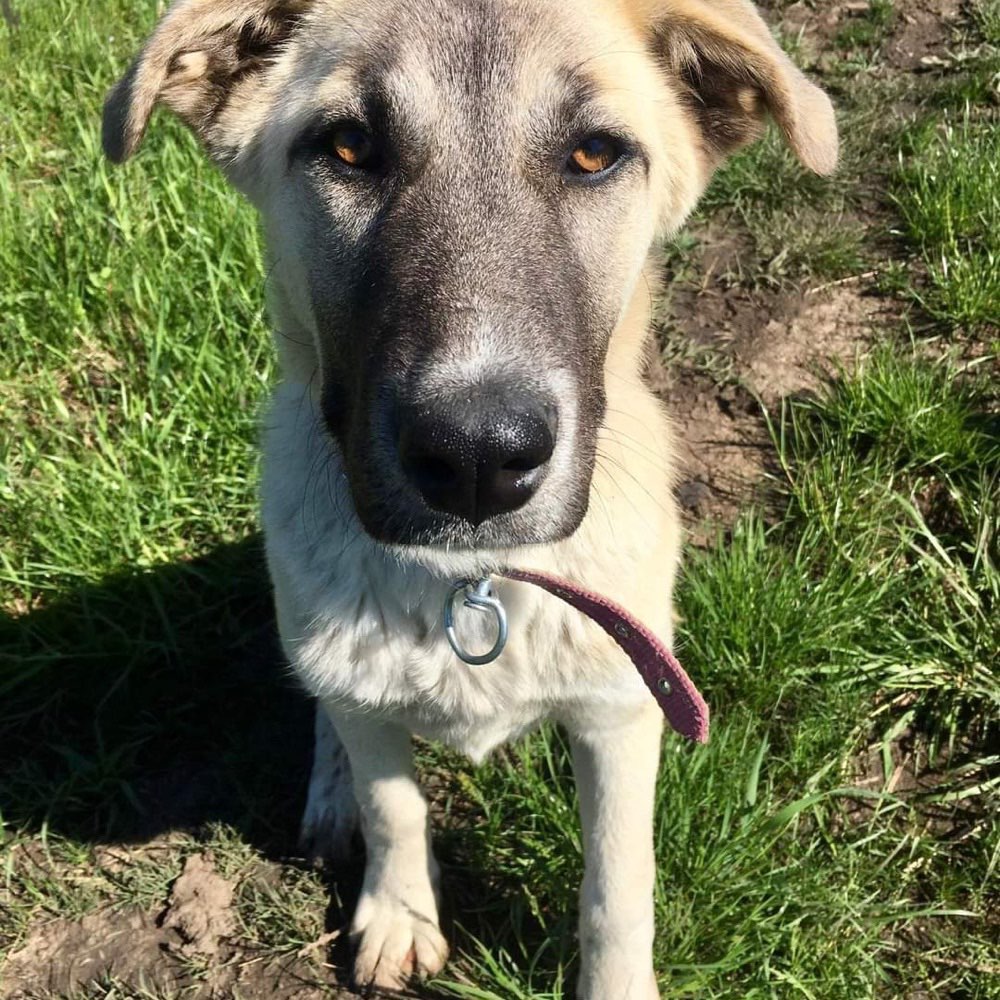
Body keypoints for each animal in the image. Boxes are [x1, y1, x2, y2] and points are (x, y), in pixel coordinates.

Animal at [101, 1, 836, 992]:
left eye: (596, 154)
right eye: (348, 147)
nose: (479, 457)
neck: (471, 582)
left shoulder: (623, 708)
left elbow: (618, 886)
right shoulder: (368, 704)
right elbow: (394, 804)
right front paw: (399, 913)